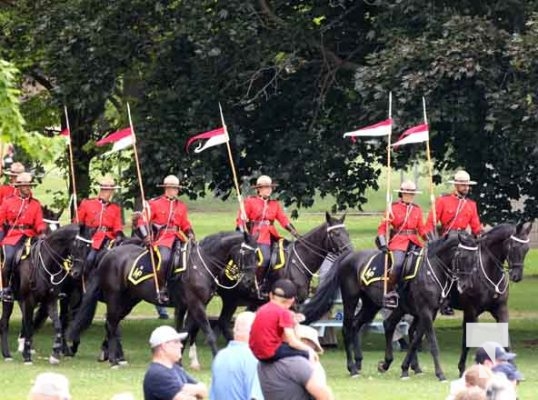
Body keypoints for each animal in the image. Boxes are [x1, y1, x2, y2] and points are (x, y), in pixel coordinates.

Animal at [0, 223, 79, 364]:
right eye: (78, 246)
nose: (76, 272)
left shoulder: (50, 300)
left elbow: (57, 325)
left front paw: (55, 354)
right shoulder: (29, 300)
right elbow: (29, 325)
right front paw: (27, 356)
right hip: (8, 299)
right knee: (4, 322)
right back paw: (7, 354)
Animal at [67, 231, 258, 366]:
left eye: (257, 255)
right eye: (246, 254)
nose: (249, 281)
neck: (202, 264)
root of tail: (108, 254)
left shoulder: (192, 306)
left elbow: (185, 333)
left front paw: (179, 361)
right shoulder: (196, 304)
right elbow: (209, 333)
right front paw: (216, 357)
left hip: (129, 301)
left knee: (112, 323)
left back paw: (115, 356)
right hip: (114, 297)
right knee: (112, 323)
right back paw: (114, 359)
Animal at [304, 233, 476, 380]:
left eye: (473, 259)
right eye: (462, 256)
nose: (466, 285)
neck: (431, 269)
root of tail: (349, 256)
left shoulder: (429, 312)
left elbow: (415, 340)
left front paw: (405, 368)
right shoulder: (425, 311)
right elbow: (432, 342)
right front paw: (439, 374)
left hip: (371, 304)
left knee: (360, 325)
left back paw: (365, 363)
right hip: (351, 300)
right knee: (348, 328)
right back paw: (352, 368)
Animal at [450, 222, 528, 376]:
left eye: (526, 249)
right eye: (514, 246)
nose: (516, 276)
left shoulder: (500, 310)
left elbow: (506, 340)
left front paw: (513, 368)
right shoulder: (471, 312)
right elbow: (467, 341)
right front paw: (462, 369)